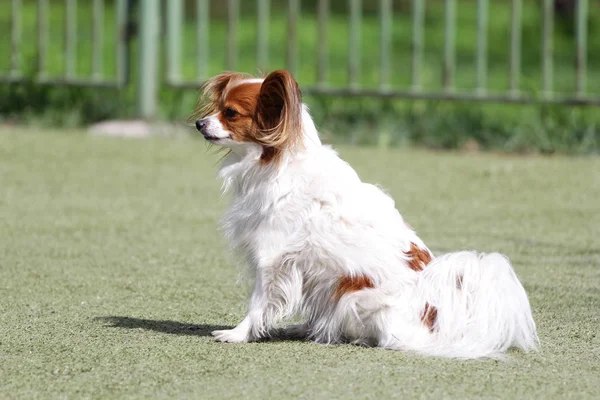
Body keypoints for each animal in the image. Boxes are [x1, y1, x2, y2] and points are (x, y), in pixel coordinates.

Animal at [192, 69, 540, 360]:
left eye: (230, 113)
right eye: (215, 107)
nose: (199, 124)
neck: (274, 163)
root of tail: (439, 318)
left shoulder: (271, 258)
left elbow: (257, 303)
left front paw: (238, 334)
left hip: (358, 298)